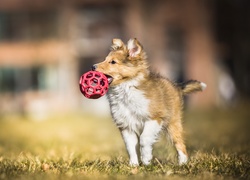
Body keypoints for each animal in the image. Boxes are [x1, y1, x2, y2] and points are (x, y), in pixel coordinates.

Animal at [92, 38, 207, 166]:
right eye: (105, 59)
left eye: (113, 62)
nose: (92, 67)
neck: (127, 88)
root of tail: (176, 86)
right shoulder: (126, 125)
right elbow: (130, 147)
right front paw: (134, 165)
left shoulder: (154, 118)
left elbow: (144, 139)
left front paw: (146, 160)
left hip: (173, 123)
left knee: (180, 144)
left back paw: (182, 164)